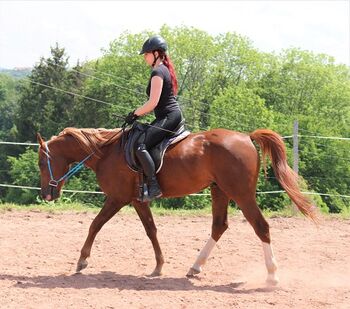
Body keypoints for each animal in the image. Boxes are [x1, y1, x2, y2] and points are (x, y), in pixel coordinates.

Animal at [37, 125, 318, 284]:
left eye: (41, 162)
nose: (46, 195)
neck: (107, 152)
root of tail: (247, 138)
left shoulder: (117, 198)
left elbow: (95, 225)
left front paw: (82, 261)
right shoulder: (138, 200)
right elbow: (151, 230)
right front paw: (159, 266)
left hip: (241, 193)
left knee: (261, 227)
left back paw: (272, 275)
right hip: (219, 191)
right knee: (219, 226)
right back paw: (195, 267)